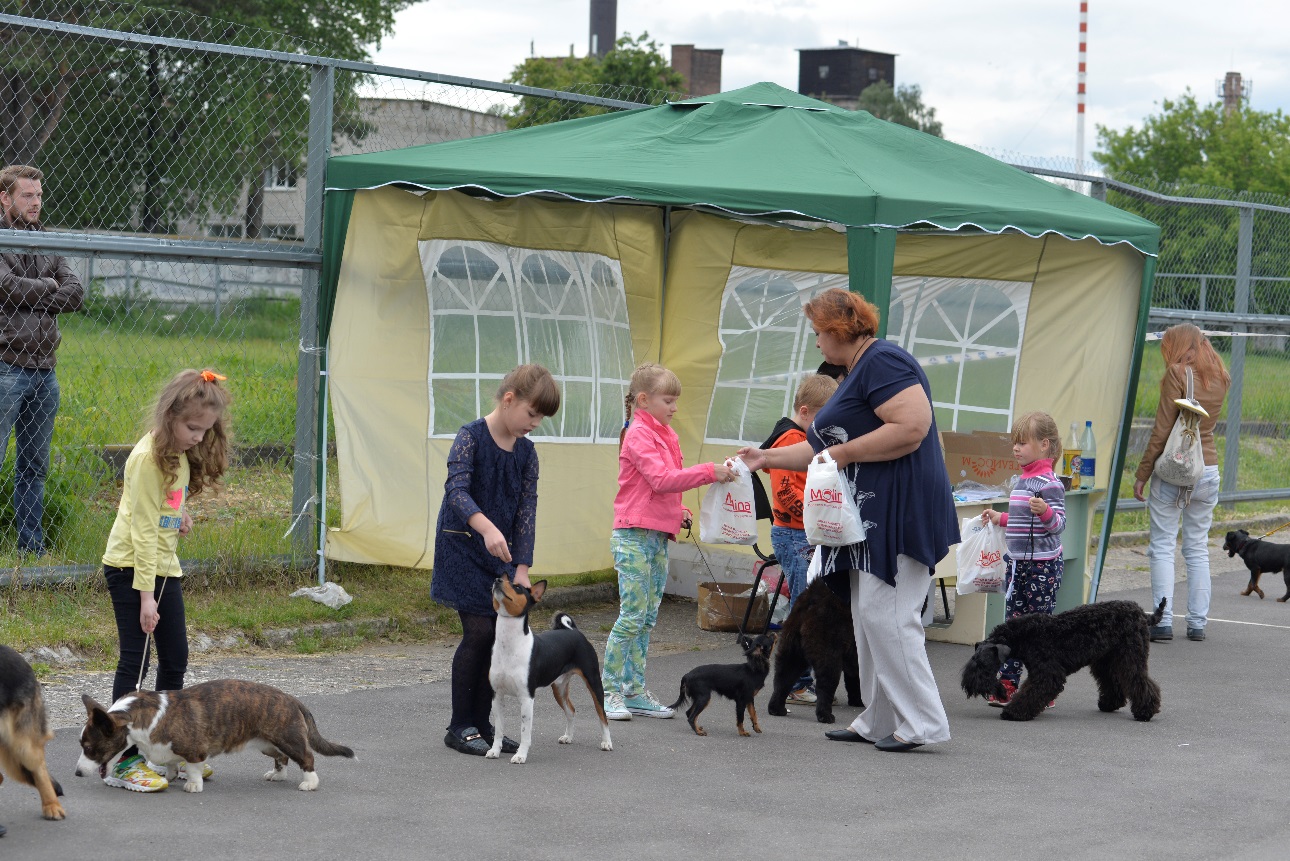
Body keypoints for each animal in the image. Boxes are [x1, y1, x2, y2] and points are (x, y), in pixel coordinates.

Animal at [768, 575, 861, 722]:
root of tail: (812, 599)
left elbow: (854, 677)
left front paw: (857, 700)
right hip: (828, 642)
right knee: (826, 680)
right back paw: (826, 715)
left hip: (792, 643)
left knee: (784, 675)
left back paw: (776, 708)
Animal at [959, 604, 1171, 722]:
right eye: (973, 661)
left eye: (984, 665)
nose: (969, 685)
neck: (1025, 635)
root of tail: (1142, 614)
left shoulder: (1047, 674)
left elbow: (1031, 693)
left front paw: (1013, 712)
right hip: (1105, 661)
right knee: (1112, 682)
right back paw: (1109, 704)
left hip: (1131, 657)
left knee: (1140, 681)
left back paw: (1145, 712)